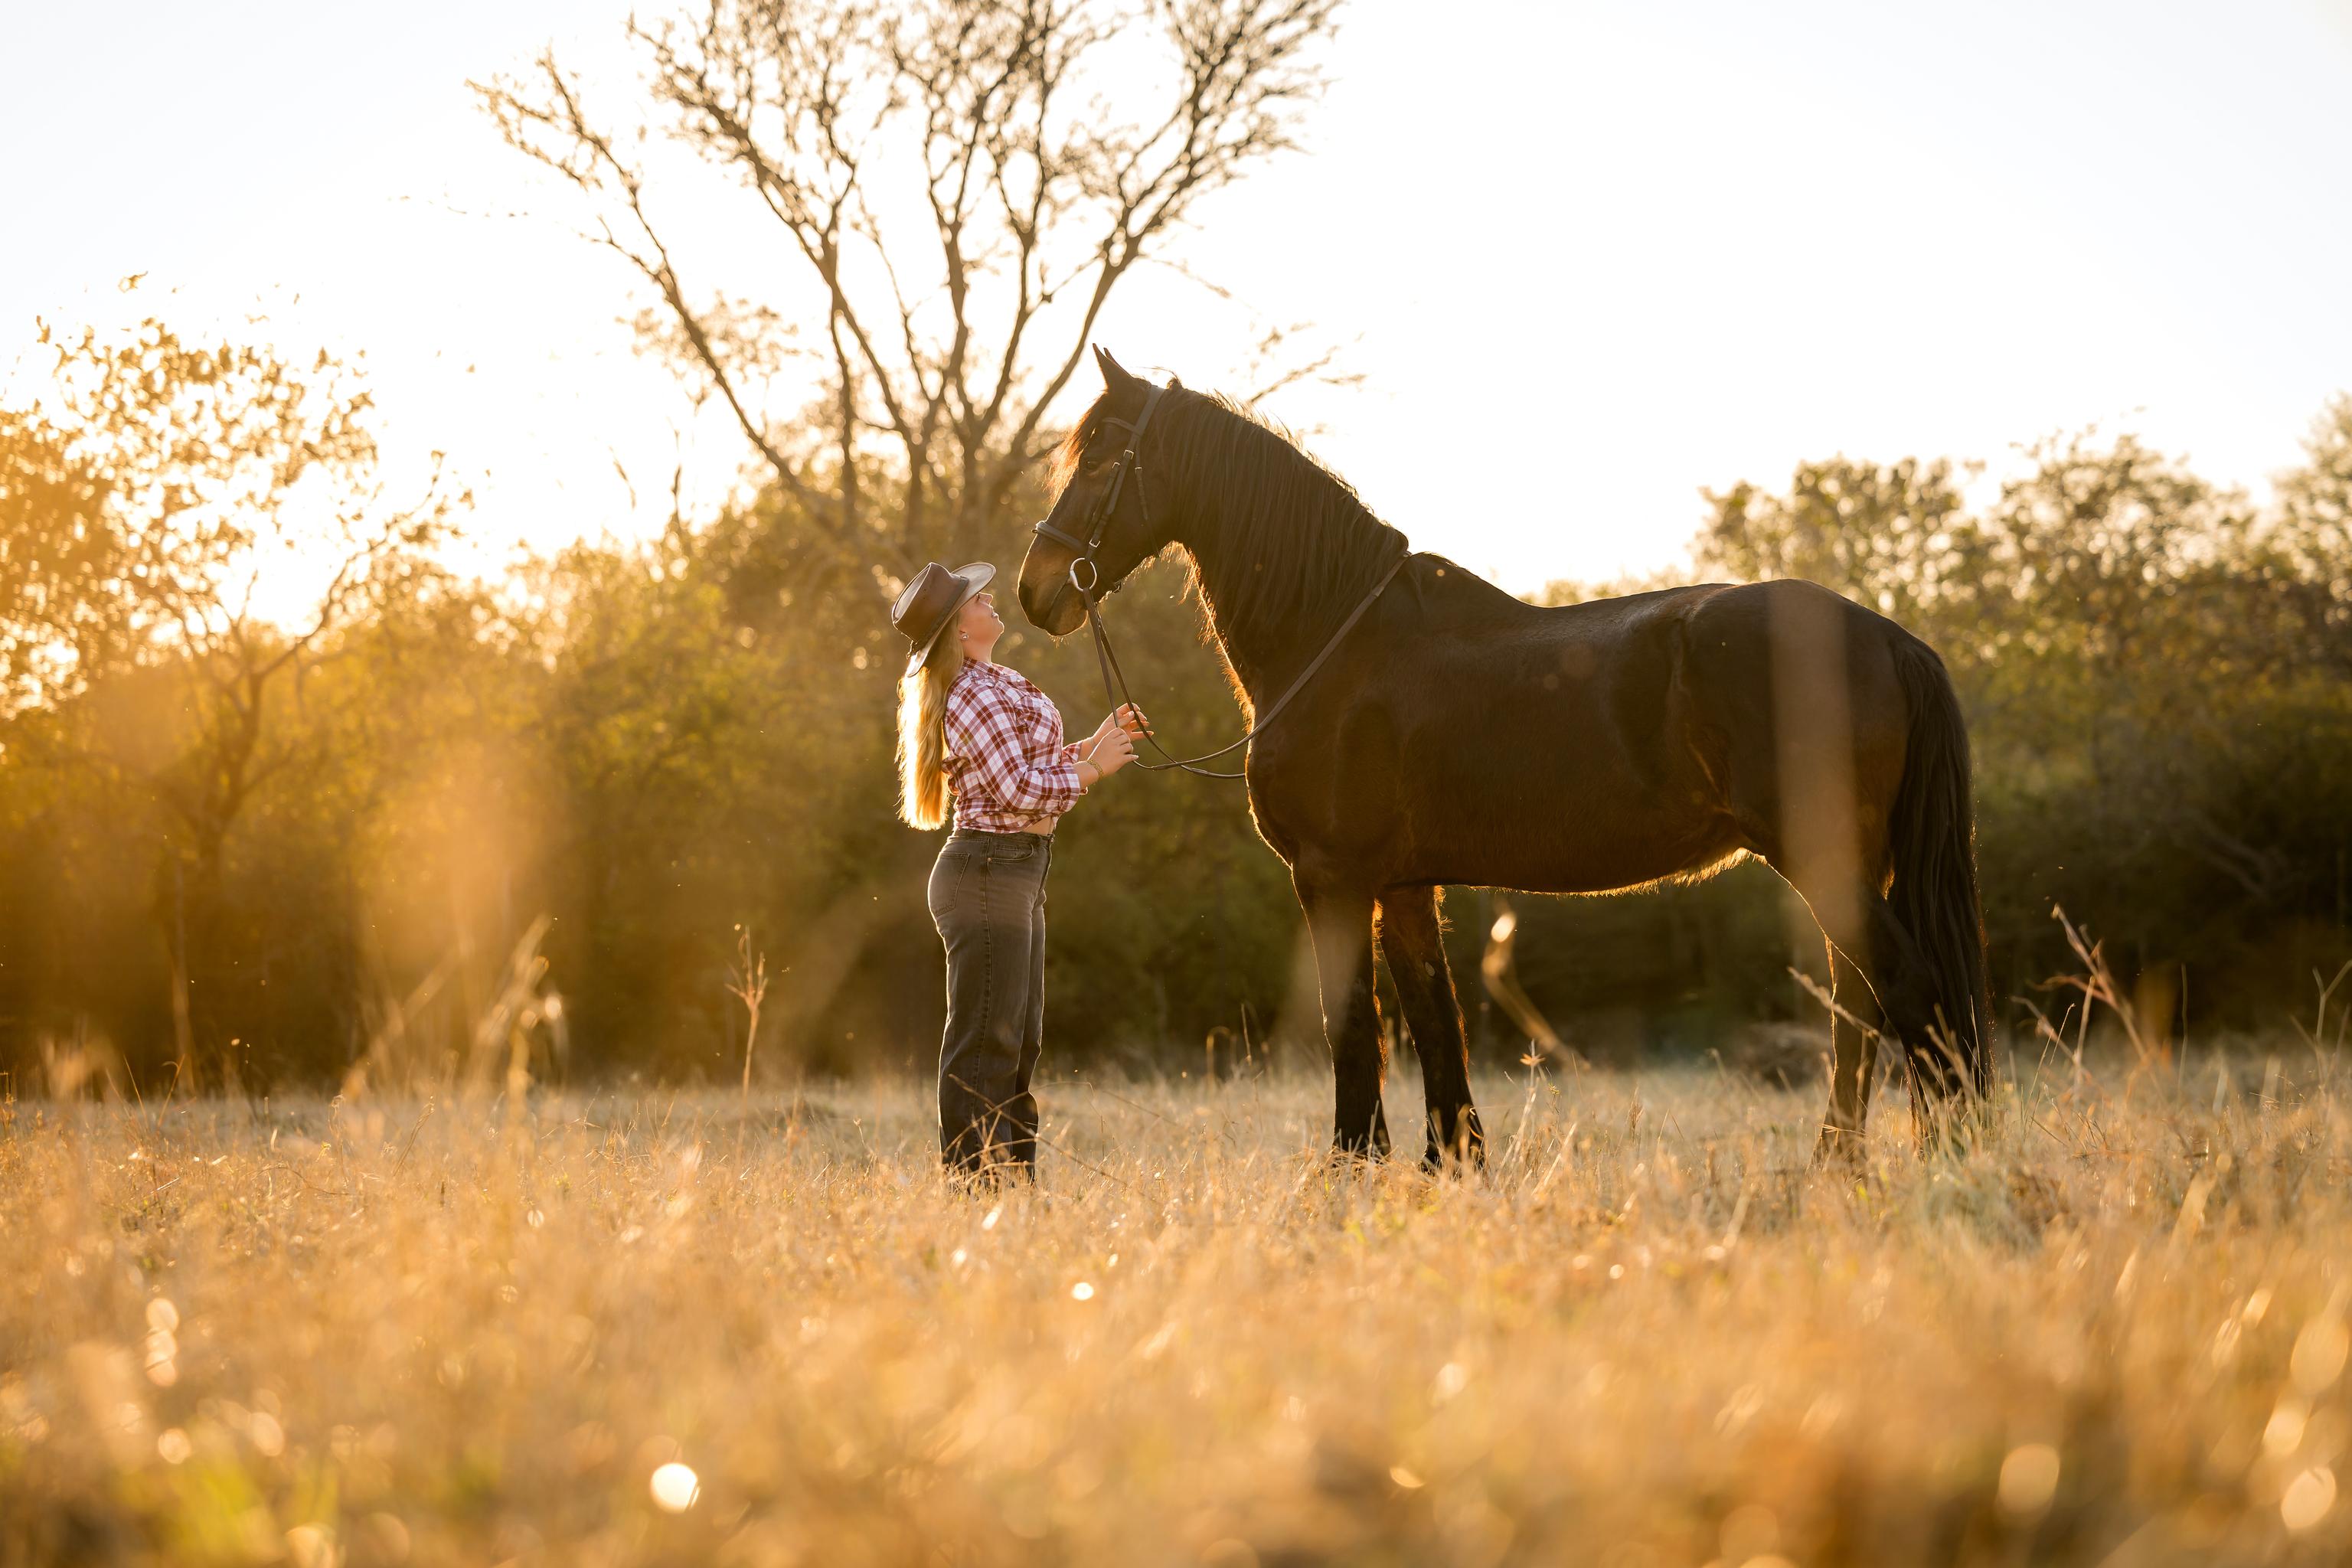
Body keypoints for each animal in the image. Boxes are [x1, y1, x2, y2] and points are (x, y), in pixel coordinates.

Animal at [1019, 348, 1992, 1165]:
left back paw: (1944, 1159)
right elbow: (1433, 1021)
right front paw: (1449, 1164)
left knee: (1904, 989)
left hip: (1819, 854)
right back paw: (1841, 1162)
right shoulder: (1405, 885)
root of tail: (1887, 635)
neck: (1336, 639)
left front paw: (1349, 1171)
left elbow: (1355, 1028)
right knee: (1860, 1002)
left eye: (1102, 460)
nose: (1036, 590)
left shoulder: (1331, 876)